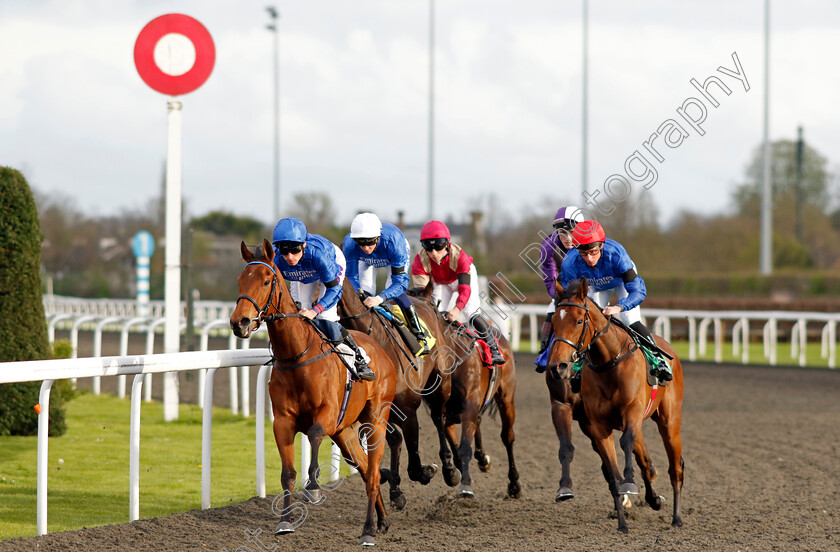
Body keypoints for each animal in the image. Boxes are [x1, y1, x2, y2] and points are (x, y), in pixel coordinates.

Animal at [230, 239, 398, 544]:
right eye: (240, 280)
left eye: (266, 280)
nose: (240, 322)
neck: (297, 355)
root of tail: (381, 352)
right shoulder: (283, 422)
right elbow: (287, 473)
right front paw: (285, 521)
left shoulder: (327, 414)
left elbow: (315, 434)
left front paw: (314, 487)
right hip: (345, 432)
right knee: (367, 469)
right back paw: (381, 520)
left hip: (376, 419)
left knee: (372, 473)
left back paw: (368, 529)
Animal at [334, 280, 460, 508]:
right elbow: (392, 440)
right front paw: (392, 484)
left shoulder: (408, 411)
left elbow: (414, 463)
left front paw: (426, 471)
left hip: (440, 384)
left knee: (440, 418)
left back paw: (449, 469)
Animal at [548, 280, 684, 536]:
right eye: (554, 322)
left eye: (579, 321)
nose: (557, 366)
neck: (608, 363)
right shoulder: (597, 427)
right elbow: (612, 475)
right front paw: (622, 523)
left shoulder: (632, 411)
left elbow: (626, 444)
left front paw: (630, 484)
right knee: (645, 461)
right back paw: (654, 500)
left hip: (669, 421)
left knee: (675, 468)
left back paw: (677, 518)